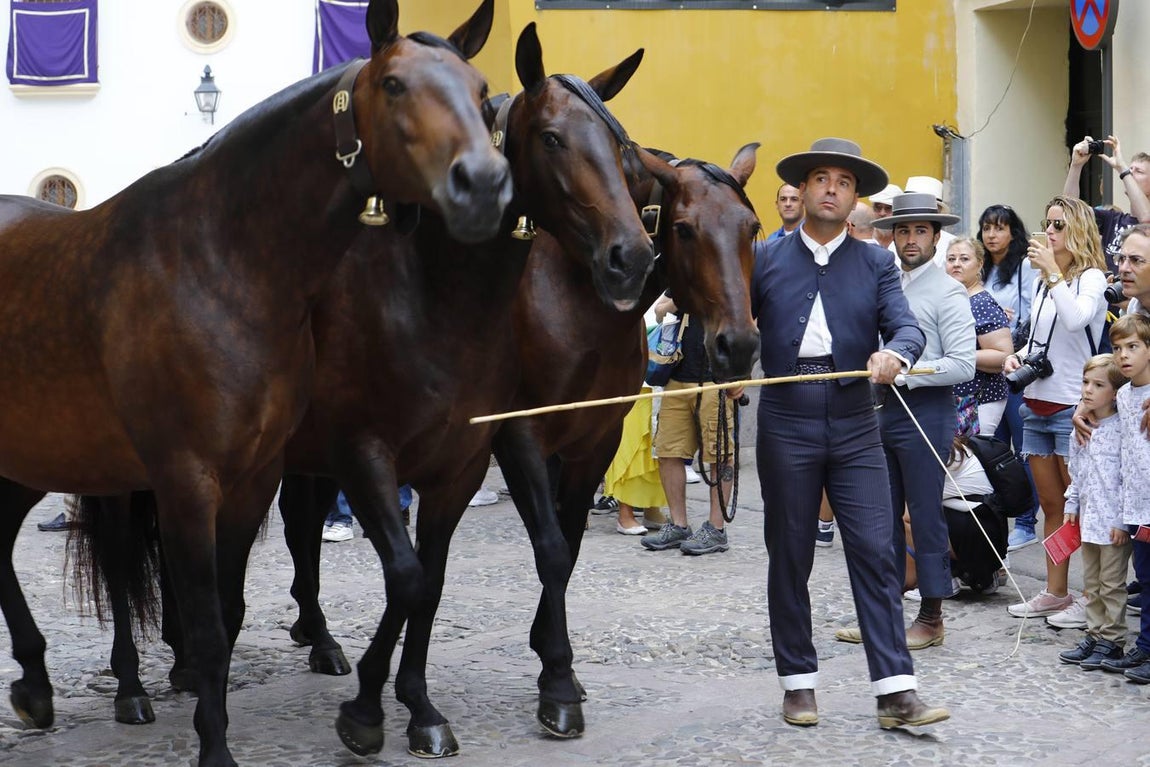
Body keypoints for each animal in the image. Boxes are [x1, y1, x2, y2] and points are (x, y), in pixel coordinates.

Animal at [0, 0, 511, 764]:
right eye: (393, 85)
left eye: (481, 94)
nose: (481, 185)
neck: (220, 263)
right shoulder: (187, 480)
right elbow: (209, 625)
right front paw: (215, 746)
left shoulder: (254, 478)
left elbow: (230, 614)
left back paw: (36, 684)